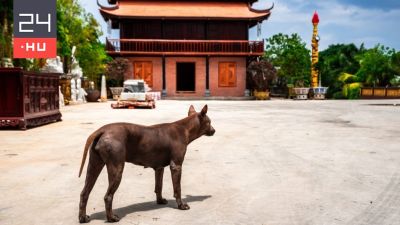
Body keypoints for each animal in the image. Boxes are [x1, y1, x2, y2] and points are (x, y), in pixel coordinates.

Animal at [78, 104, 216, 222]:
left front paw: (160, 201)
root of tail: (102, 130)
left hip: (94, 166)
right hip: (117, 169)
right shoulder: (176, 166)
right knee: (108, 196)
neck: (185, 128)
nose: (214, 130)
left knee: (84, 193)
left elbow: (159, 186)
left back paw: (83, 218)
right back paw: (111, 218)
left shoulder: (159, 168)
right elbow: (178, 189)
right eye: (209, 122)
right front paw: (181, 205)